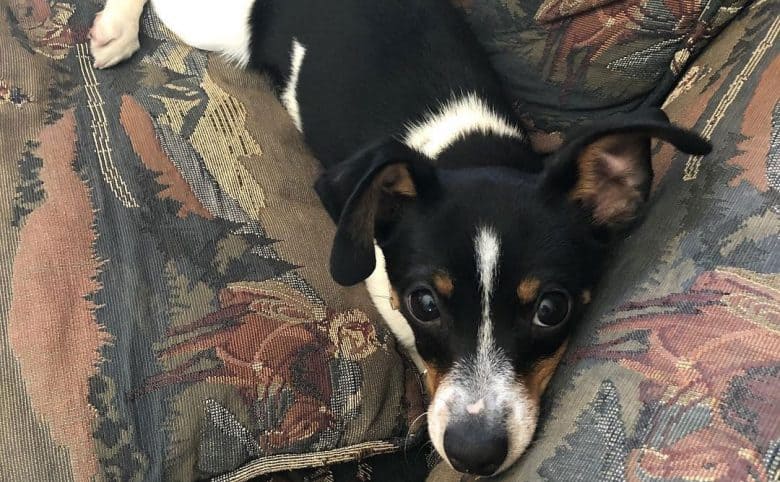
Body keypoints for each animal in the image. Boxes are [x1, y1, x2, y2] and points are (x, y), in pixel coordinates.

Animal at [93, 0, 712, 474]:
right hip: (206, 21)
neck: (471, 150)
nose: (473, 456)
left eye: (551, 309)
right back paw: (115, 31)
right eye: (424, 304)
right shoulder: (379, 283)